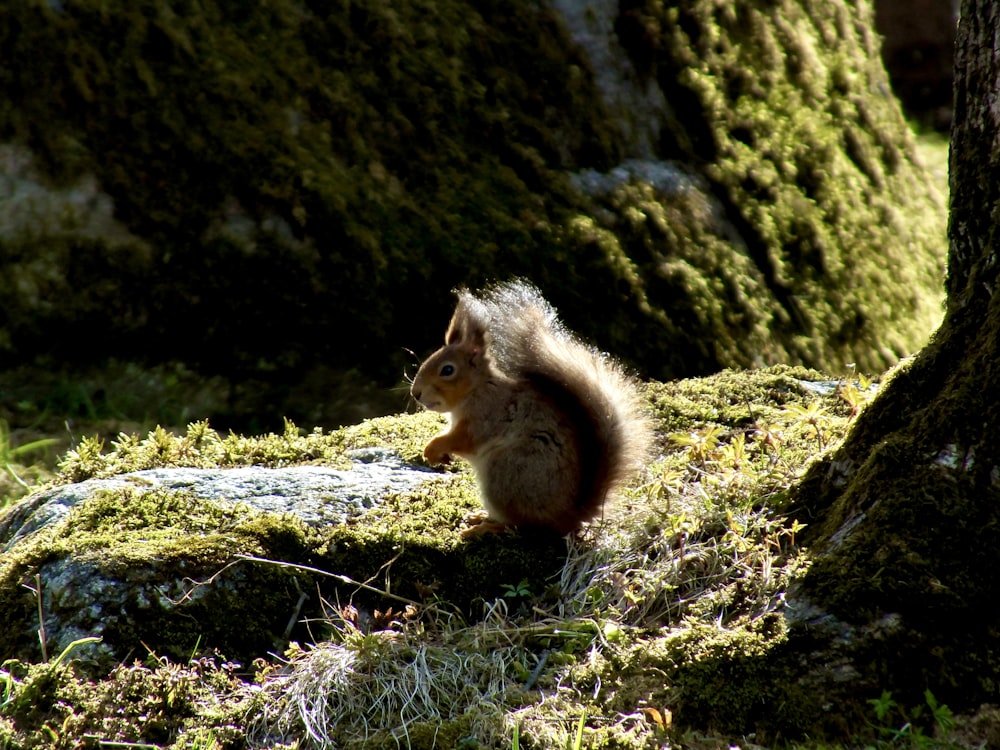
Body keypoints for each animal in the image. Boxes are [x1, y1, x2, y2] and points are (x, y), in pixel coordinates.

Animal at [410, 280, 652, 536]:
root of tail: (568, 516)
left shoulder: (486, 416)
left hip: (505, 474)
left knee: (518, 523)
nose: (416, 393)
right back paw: (479, 517)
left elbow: (463, 439)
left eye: (447, 370)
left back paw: (483, 527)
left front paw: (432, 448)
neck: (477, 389)